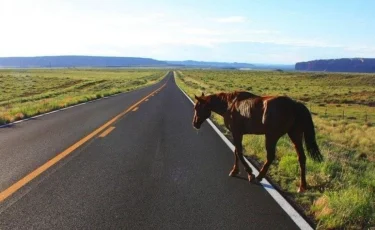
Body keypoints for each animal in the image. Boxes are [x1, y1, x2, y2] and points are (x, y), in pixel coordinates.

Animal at [194, 91, 324, 192]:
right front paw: (235, 170)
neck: (230, 105)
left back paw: (259, 176)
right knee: (301, 157)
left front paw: (249, 173)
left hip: (271, 136)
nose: (194, 124)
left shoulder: (237, 133)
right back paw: (302, 186)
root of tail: (294, 105)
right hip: (295, 135)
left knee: (270, 156)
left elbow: (239, 153)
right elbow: (236, 152)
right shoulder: (238, 134)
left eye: (197, 107)